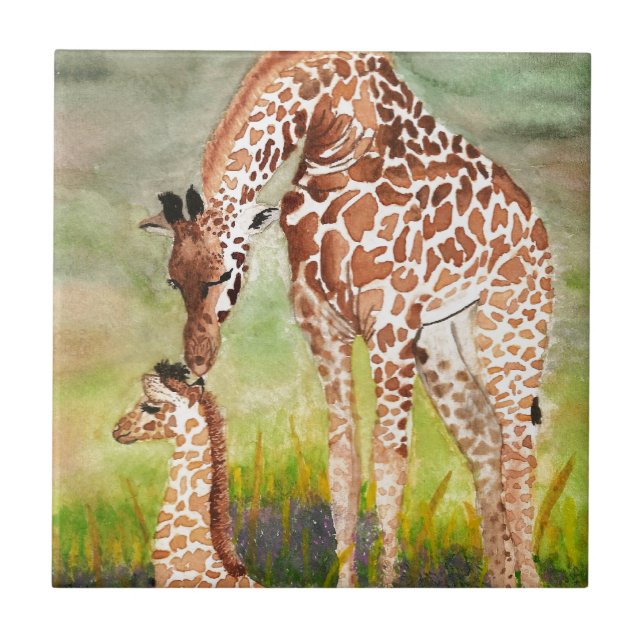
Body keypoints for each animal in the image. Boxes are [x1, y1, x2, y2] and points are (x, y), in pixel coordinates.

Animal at [140, 52, 554, 587]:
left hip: (512, 328)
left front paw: (388, 582)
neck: (328, 130)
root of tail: (535, 222)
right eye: (173, 281)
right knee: (485, 444)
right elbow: (343, 461)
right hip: (441, 343)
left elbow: (391, 459)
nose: (197, 358)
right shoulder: (323, 326)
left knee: (518, 451)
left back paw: (530, 578)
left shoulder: (390, 324)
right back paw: (500, 580)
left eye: (224, 273)